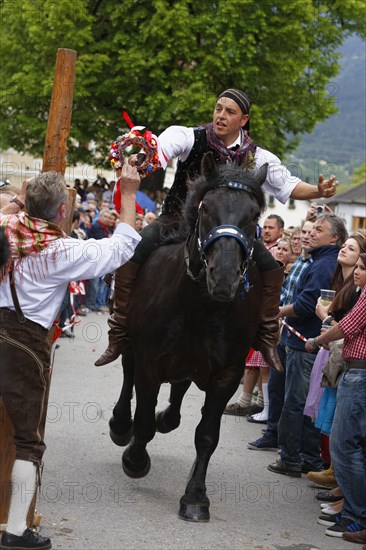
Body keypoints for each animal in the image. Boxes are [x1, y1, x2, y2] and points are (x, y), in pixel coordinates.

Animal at [108, 153, 268, 524]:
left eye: (254, 215)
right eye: (206, 207)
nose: (223, 277)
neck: (201, 307)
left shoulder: (227, 375)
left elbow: (207, 436)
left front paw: (195, 497)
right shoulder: (150, 363)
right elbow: (143, 420)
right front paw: (135, 460)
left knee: (179, 392)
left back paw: (166, 419)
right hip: (134, 346)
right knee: (127, 374)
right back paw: (120, 426)